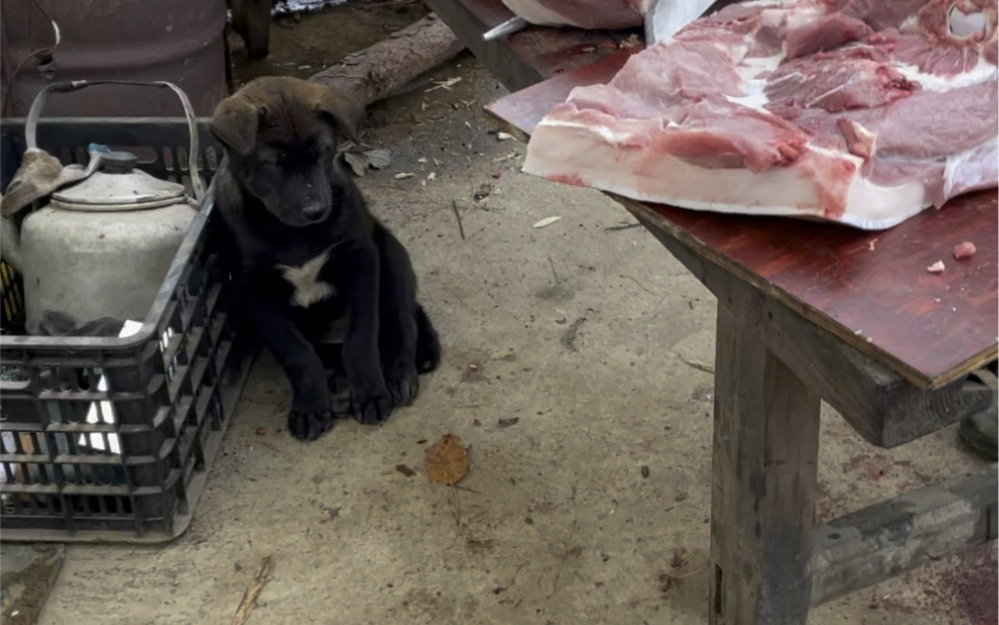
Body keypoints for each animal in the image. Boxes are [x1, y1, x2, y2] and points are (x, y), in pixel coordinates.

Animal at [211, 77, 442, 438]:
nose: (316, 211)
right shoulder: (256, 291)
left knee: (402, 320)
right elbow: (298, 354)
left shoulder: (361, 258)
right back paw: (335, 381)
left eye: (323, 151)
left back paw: (400, 373)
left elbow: (361, 338)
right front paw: (310, 408)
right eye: (273, 163)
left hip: (391, 255)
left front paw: (371, 393)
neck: (292, 235)